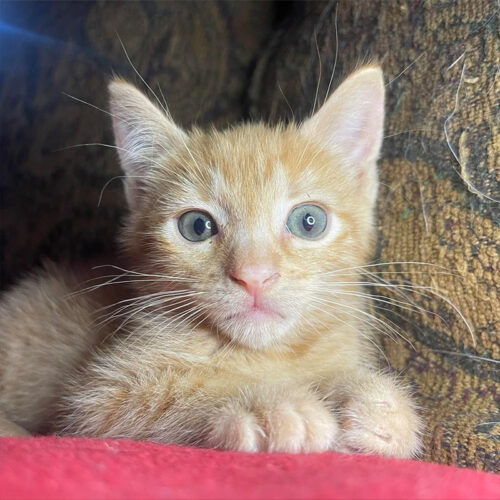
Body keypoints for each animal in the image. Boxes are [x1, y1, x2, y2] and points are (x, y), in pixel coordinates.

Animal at [0, 66, 422, 458]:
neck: (267, 354)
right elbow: (165, 395)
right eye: (196, 226)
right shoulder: (97, 398)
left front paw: (373, 403)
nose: (254, 277)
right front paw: (269, 405)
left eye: (308, 221)